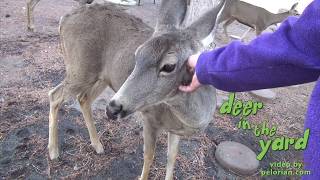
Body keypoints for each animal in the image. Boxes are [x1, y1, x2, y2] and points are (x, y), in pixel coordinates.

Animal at [49, 0, 225, 179]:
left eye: (169, 66)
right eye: (137, 53)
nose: (112, 109)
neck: (187, 119)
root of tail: (64, 19)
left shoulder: (176, 130)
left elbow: (172, 157)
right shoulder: (149, 116)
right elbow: (148, 155)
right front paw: (142, 176)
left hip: (101, 77)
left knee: (83, 98)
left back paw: (97, 145)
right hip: (79, 68)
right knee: (55, 95)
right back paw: (53, 151)